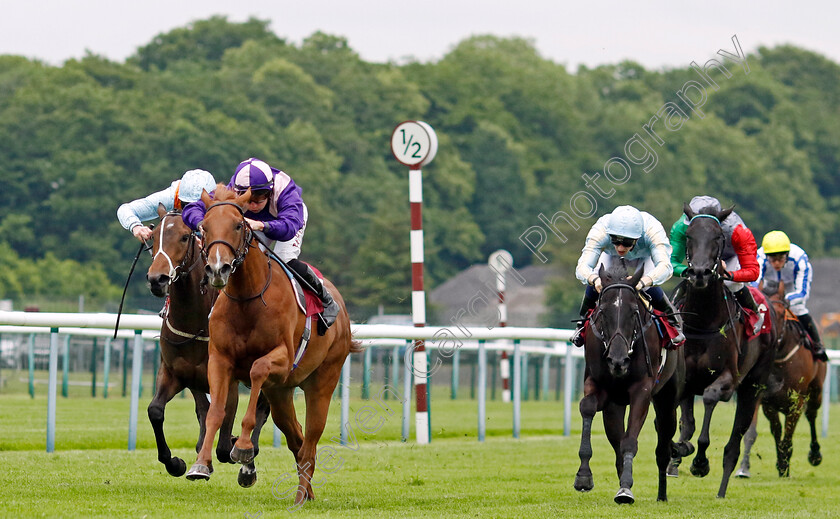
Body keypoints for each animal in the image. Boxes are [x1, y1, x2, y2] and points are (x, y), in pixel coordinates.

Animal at [144, 204, 270, 488]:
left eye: (184, 237)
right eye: (153, 236)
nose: (157, 279)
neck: (195, 321)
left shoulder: (229, 378)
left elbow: (225, 441)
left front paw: (237, 449)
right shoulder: (176, 373)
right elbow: (156, 411)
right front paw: (176, 463)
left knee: (262, 407)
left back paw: (248, 461)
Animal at [185, 186, 360, 508]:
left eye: (238, 225)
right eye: (204, 227)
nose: (217, 269)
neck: (248, 298)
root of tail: (342, 309)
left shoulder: (281, 359)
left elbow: (257, 370)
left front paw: (242, 446)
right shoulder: (220, 359)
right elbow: (215, 411)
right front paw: (201, 464)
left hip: (322, 382)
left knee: (311, 439)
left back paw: (301, 496)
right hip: (282, 392)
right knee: (298, 439)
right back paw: (307, 493)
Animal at [572, 264, 684, 504]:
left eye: (634, 312)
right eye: (602, 312)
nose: (618, 361)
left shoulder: (642, 390)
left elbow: (630, 440)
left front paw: (625, 489)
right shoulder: (598, 385)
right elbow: (587, 407)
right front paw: (584, 476)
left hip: (667, 398)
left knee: (662, 444)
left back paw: (661, 494)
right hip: (615, 406)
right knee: (617, 441)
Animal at [668, 203, 776, 500]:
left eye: (718, 236)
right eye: (689, 235)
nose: (700, 273)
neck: (703, 321)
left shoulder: (728, 379)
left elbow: (709, 399)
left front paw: (700, 462)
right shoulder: (685, 379)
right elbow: (686, 424)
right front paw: (678, 450)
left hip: (752, 387)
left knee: (735, 442)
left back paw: (723, 487)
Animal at [736, 282, 828, 478]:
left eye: (779, 312)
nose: (767, 336)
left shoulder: (796, 401)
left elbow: (788, 436)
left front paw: (785, 465)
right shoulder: (765, 400)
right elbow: (756, 432)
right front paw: (745, 467)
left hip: (816, 391)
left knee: (812, 415)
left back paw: (815, 454)